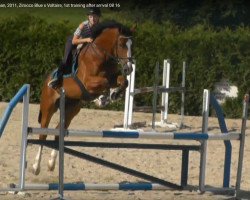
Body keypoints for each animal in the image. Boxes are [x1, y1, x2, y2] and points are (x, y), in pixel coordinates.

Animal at [33, 20, 135, 175]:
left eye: (132, 45)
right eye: (122, 44)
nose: (129, 68)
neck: (102, 55)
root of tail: (46, 80)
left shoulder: (113, 77)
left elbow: (124, 81)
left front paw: (114, 94)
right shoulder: (88, 82)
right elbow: (104, 82)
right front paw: (103, 98)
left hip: (71, 109)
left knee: (58, 132)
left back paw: (51, 164)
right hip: (48, 106)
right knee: (43, 134)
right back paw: (36, 167)